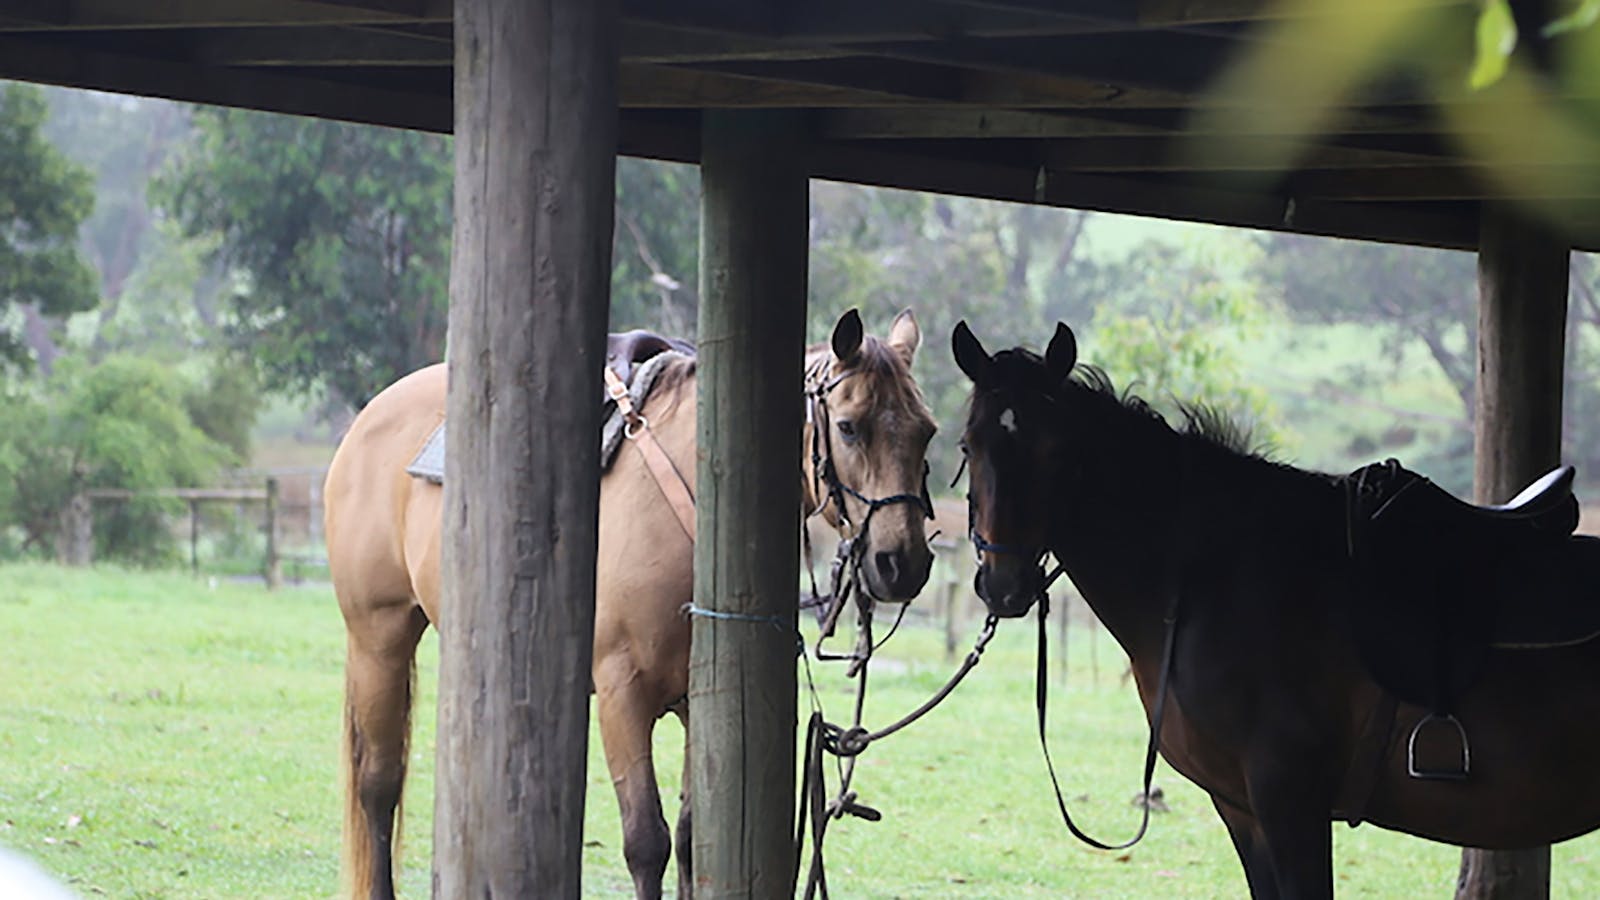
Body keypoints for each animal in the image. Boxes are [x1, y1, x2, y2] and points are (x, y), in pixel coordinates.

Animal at [325, 308, 937, 900]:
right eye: (849, 427)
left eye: (926, 432)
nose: (902, 563)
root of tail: (370, 419)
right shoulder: (622, 692)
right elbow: (647, 841)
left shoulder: (699, 700)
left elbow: (690, 838)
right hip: (378, 638)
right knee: (378, 787)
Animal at [951, 320, 1600, 899]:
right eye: (969, 444)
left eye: (1056, 451)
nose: (1004, 586)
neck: (1207, 574)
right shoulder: (1242, 810)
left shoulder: (1291, 804)